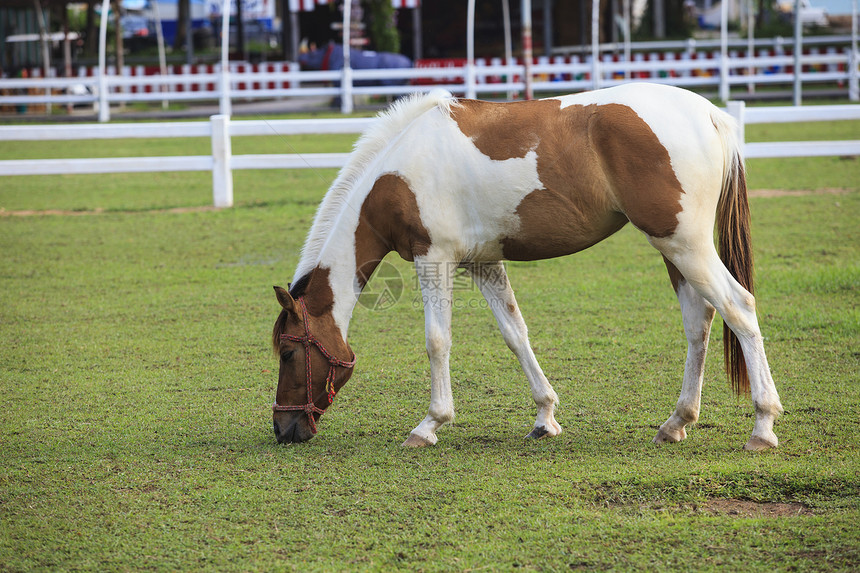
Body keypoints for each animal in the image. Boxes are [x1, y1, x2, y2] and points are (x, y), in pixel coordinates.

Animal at [272, 84, 784, 452]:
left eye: (289, 353)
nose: (284, 428)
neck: (397, 175)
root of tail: (709, 114)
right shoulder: (483, 263)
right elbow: (515, 334)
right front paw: (545, 417)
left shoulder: (433, 259)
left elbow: (437, 341)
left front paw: (430, 424)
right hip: (675, 250)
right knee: (700, 322)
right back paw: (676, 422)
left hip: (685, 246)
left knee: (740, 308)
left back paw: (762, 426)